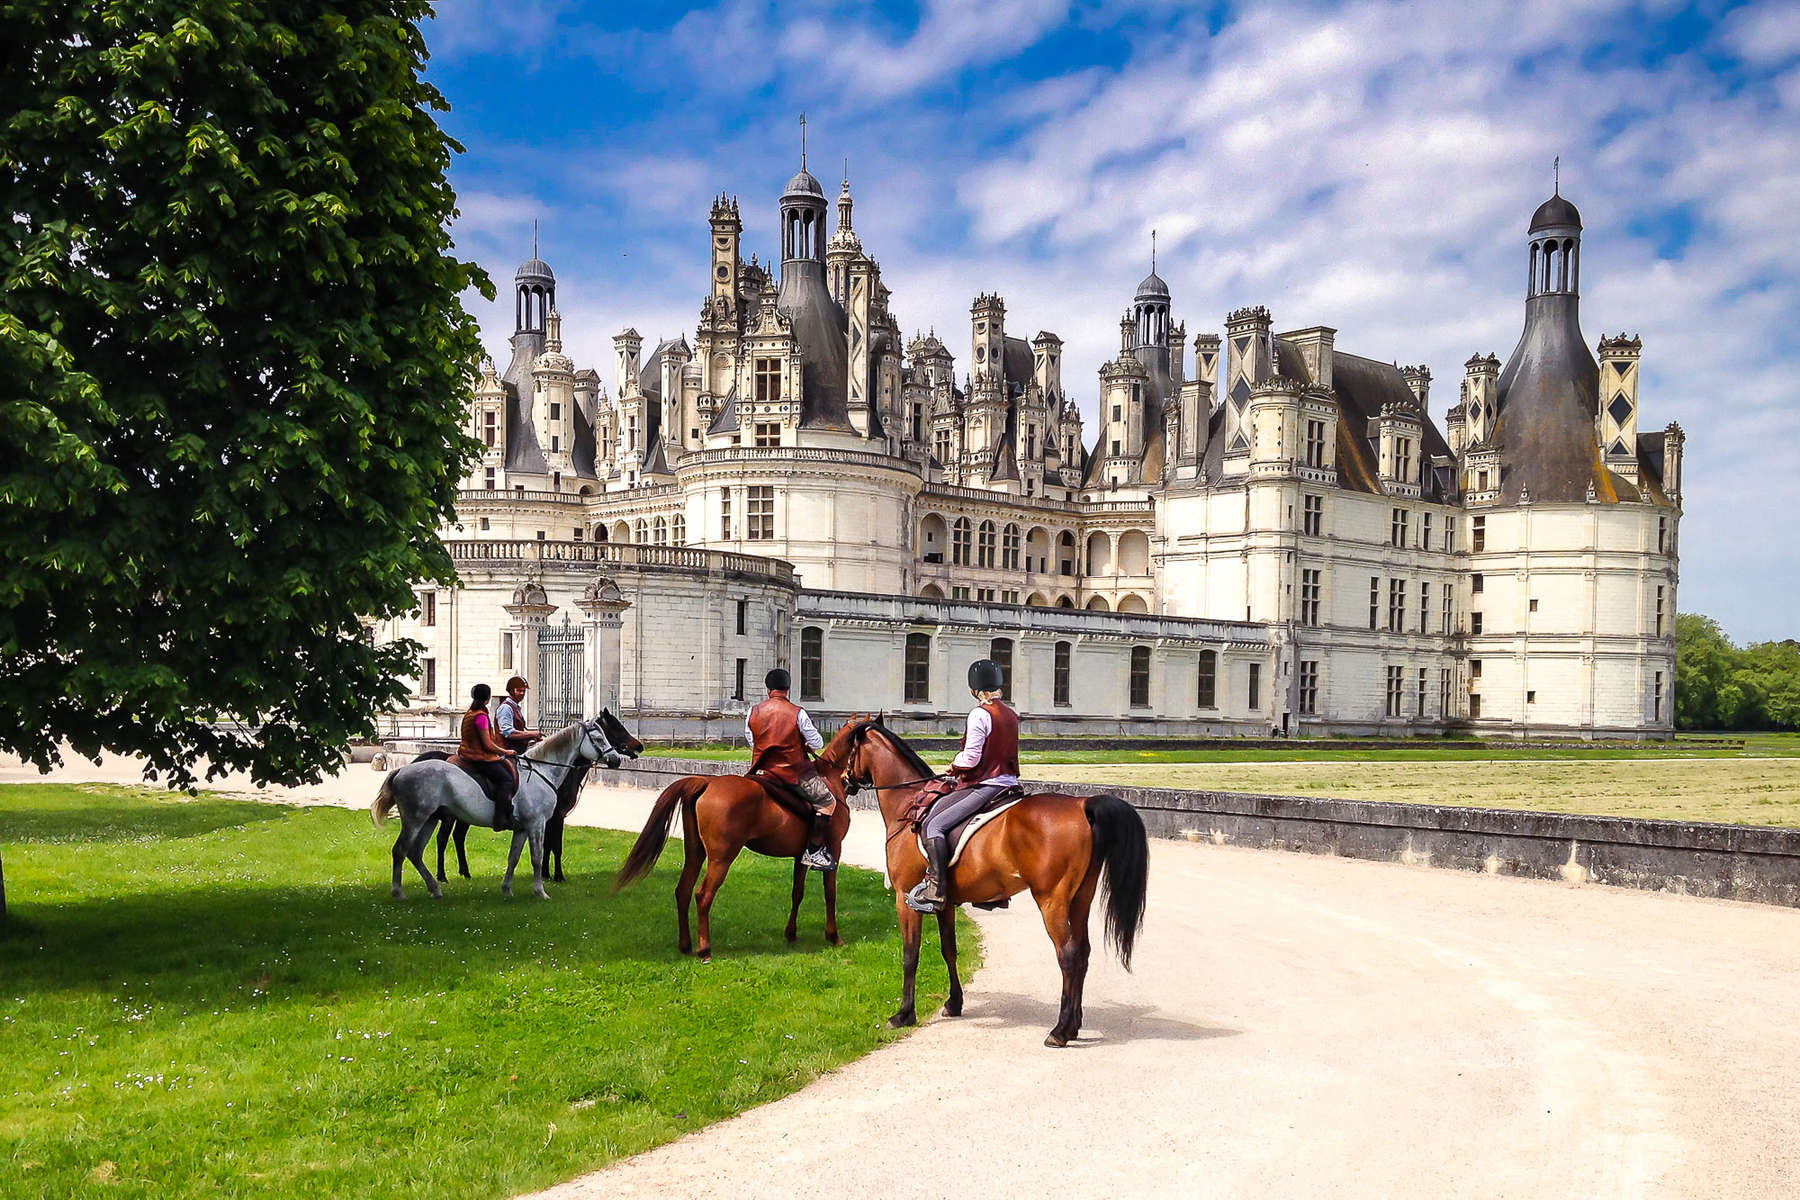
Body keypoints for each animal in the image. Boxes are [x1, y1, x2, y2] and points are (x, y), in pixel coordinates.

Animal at [369, 712, 622, 899]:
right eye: (600, 738)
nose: (617, 759)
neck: (542, 771)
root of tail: (401, 770)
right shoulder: (537, 824)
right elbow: (537, 857)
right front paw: (540, 891)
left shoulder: (522, 828)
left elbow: (513, 858)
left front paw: (507, 889)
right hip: (416, 820)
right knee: (401, 850)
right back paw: (399, 892)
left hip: (430, 819)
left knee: (415, 852)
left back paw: (435, 888)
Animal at [412, 705, 644, 881]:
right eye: (614, 727)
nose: (639, 746)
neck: (548, 768)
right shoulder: (555, 816)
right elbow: (555, 846)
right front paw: (557, 876)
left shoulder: (548, 817)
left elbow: (547, 845)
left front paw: (546, 874)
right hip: (449, 815)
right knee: (443, 839)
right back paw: (442, 875)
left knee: (458, 837)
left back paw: (465, 873)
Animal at [612, 719, 856, 964]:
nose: (850, 782)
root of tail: (707, 782)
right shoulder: (834, 848)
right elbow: (830, 893)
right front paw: (833, 936)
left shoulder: (800, 856)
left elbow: (797, 893)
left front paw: (791, 934)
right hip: (721, 859)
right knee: (703, 895)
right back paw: (705, 949)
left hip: (695, 852)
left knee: (683, 891)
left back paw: (685, 945)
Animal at [831, 719, 1144, 1043]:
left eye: (846, 745)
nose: (841, 779)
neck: (910, 804)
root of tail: (1082, 805)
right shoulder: (945, 904)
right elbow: (949, 950)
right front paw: (954, 1003)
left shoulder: (905, 899)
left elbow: (910, 955)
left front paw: (904, 1014)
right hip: (1080, 898)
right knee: (1082, 953)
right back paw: (1075, 1024)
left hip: (1052, 900)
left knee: (1068, 955)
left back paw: (1060, 1031)